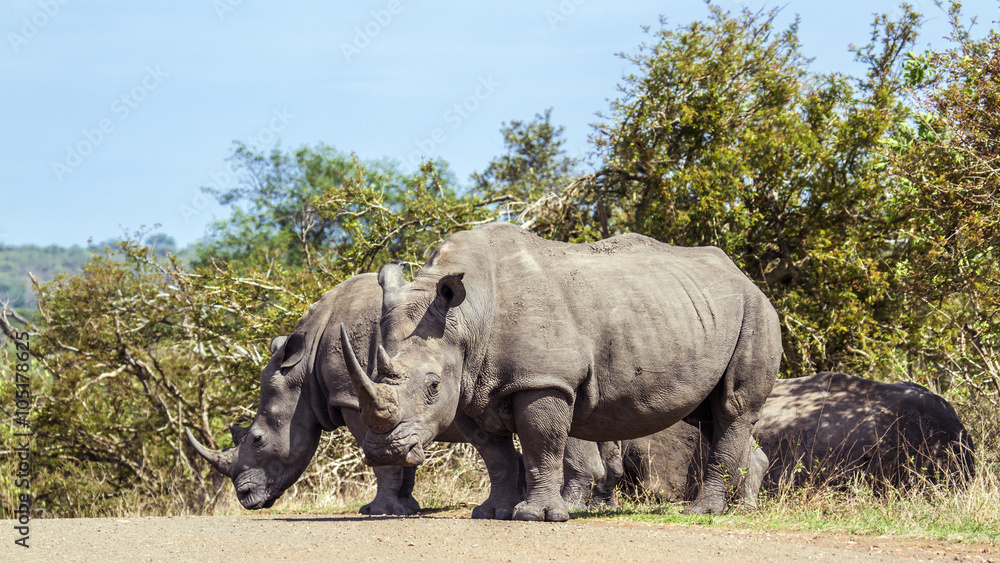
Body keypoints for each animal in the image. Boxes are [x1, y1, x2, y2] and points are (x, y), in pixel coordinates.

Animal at [184, 273, 612, 514]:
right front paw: (404, 506)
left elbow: (382, 460)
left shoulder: (351, 394)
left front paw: (379, 510)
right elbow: (400, 456)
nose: (245, 498)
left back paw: (572, 506)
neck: (302, 369)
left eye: (257, 439)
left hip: (546, 361)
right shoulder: (386, 399)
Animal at [341, 223, 782, 521]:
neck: (467, 319)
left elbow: (542, 443)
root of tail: (746, 277)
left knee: (733, 407)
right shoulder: (468, 388)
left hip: (755, 312)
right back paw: (740, 507)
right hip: (695, 312)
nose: (383, 451)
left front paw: (535, 517)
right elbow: (494, 454)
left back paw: (703, 513)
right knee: (710, 414)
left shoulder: (543, 381)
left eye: (431, 386)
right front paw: (491, 513)